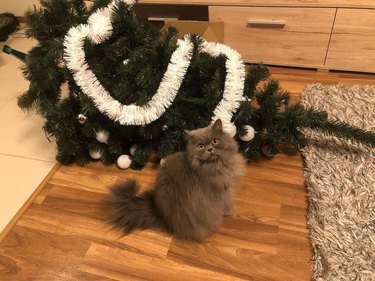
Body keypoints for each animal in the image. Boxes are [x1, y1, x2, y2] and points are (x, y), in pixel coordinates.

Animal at [106, 118, 247, 241]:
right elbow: (227, 202)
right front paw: (229, 211)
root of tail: (161, 216)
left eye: (215, 141)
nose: (210, 149)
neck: (214, 165)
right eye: (201, 146)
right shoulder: (223, 189)